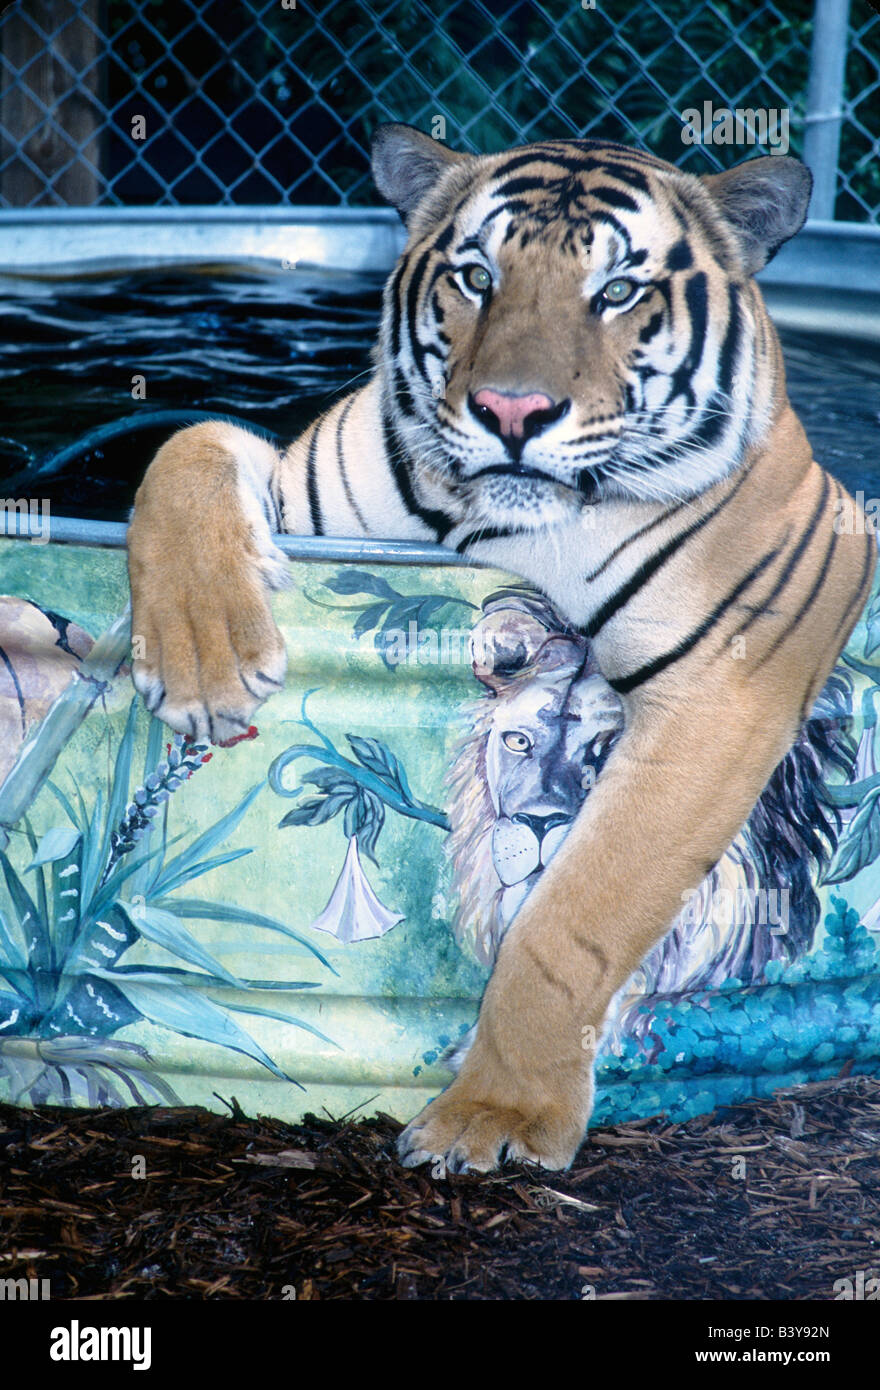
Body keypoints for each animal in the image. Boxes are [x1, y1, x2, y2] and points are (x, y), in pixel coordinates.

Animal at [127, 125, 873, 1173]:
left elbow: (575, 919)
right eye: (477, 277)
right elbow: (190, 444)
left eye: (618, 291)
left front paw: (497, 1113)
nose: (511, 412)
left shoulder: (722, 695)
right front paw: (206, 664)